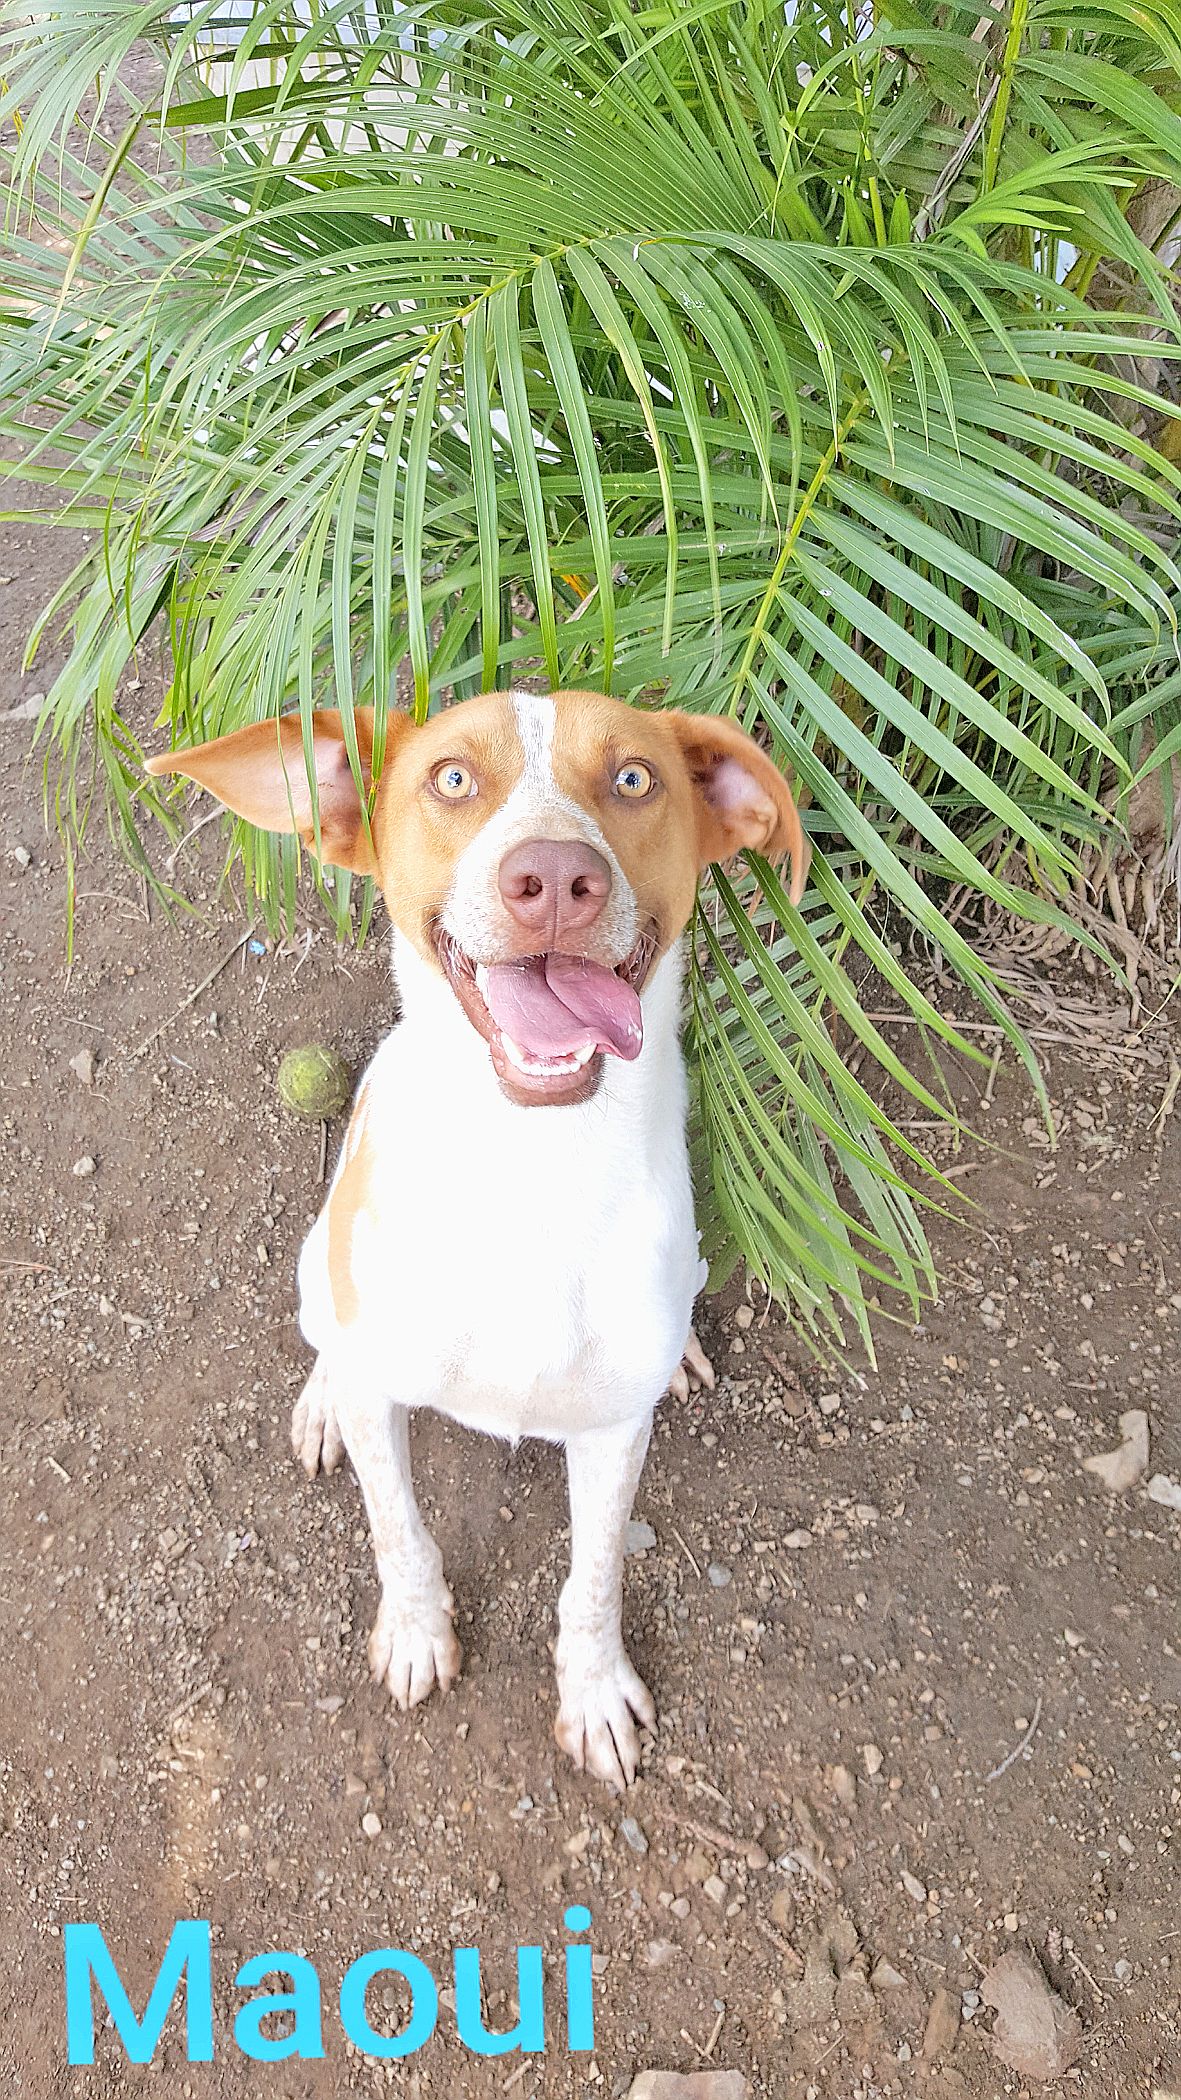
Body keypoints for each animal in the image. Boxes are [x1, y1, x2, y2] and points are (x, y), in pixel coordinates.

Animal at [147, 692, 802, 1789]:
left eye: (633, 778)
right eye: (451, 778)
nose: (555, 881)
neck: (534, 1171)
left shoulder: (612, 1433)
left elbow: (592, 1578)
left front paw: (593, 1692)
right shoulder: (384, 1397)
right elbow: (399, 1533)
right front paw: (416, 1635)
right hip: (318, 1261)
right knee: (327, 1341)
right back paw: (319, 1401)